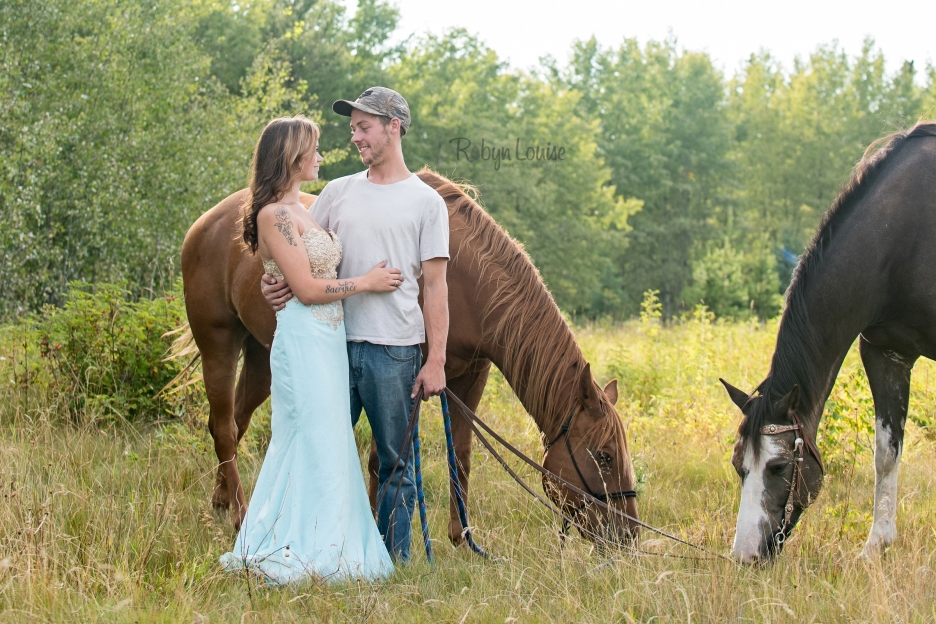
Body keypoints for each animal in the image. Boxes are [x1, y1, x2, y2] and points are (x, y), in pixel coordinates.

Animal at [177, 168, 636, 544]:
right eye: (604, 455)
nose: (628, 533)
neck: (464, 282)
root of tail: (208, 221)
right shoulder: (400, 375)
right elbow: (383, 455)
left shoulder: (469, 378)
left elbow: (460, 455)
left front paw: (460, 537)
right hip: (218, 344)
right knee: (223, 427)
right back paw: (239, 515)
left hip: (260, 357)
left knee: (236, 422)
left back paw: (223, 502)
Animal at [720, 120, 936, 560]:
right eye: (738, 465)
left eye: (779, 466)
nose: (746, 555)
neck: (904, 237)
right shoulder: (887, 351)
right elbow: (886, 453)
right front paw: (876, 547)